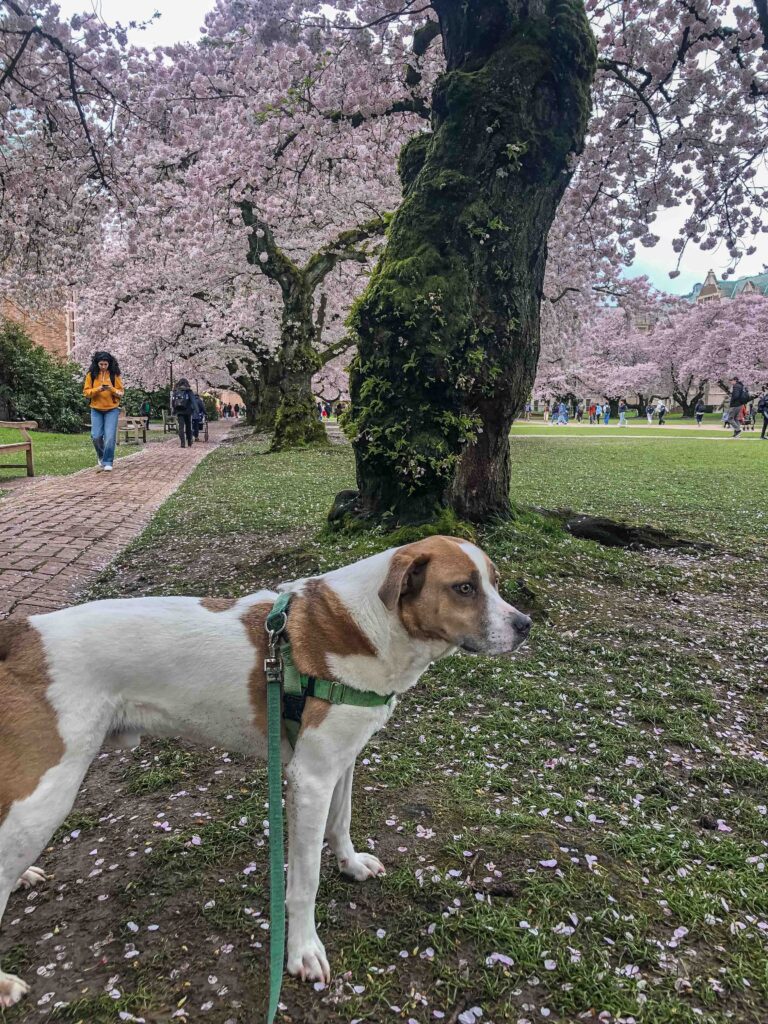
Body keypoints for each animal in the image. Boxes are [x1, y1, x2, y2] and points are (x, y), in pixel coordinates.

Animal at [0, 536, 528, 1007]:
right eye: (464, 588)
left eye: (495, 583)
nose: (525, 624)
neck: (371, 627)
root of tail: (23, 629)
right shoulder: (310, 779)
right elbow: (304, 882)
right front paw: (302, 950)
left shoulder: (342, 760)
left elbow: (342, 823)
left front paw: (350, 864)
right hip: (45, 794)